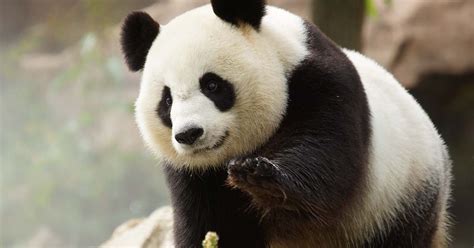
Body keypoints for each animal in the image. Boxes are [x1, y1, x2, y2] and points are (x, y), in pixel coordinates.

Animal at [119, 0, 452, 247]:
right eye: (167, 101)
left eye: (212, 85)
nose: (189, 134)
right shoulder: (194, 176)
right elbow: (214, 226)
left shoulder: (322, 84)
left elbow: (323, 155)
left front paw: (259, 175)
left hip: (397, 205)